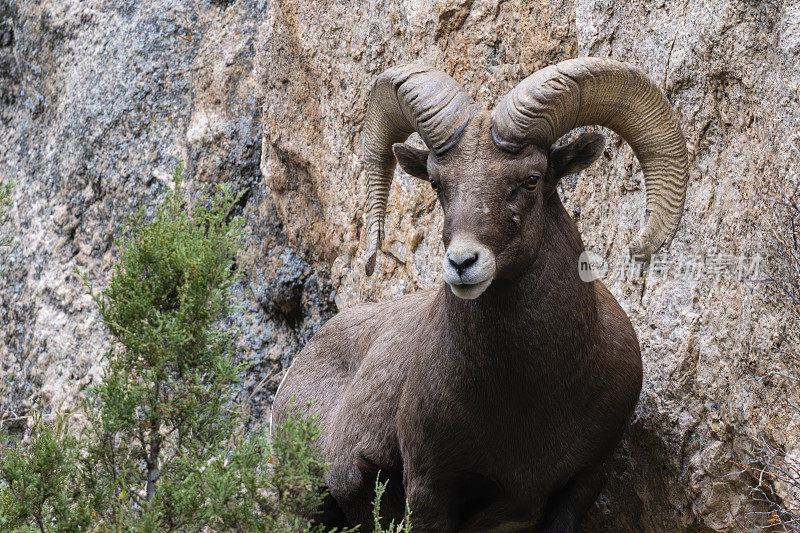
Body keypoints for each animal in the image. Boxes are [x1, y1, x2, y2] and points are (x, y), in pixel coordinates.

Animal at [276, 56, 688, 528]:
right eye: (437, 183)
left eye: (531, 180)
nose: (462, 264)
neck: (526, 398)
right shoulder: (430, 489)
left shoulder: (583, 483)